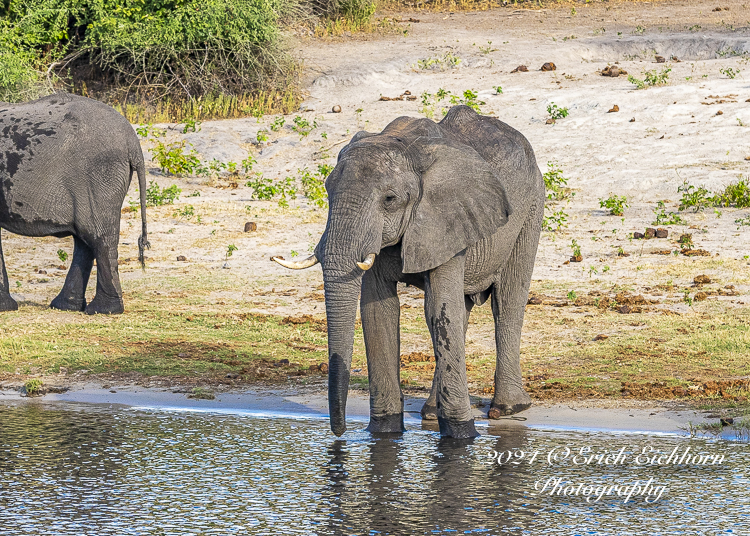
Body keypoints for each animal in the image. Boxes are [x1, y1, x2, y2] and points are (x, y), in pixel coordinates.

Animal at [0, 92, 150, 314]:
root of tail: (133, 142)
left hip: (99, 176)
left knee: (99, 237)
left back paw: (102, 310)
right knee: (85, 240)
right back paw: (67, 306)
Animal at [274, 105, 544, 440]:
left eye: (389, 200)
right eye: (326, 190)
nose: (340, 433)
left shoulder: (445, 218)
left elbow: (439, 308)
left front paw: (462, 436)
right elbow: (379, 311)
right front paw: (384, 432)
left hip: (531, 209)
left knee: (506, 302)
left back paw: (508, 409)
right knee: (461, 312)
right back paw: (431, 412)